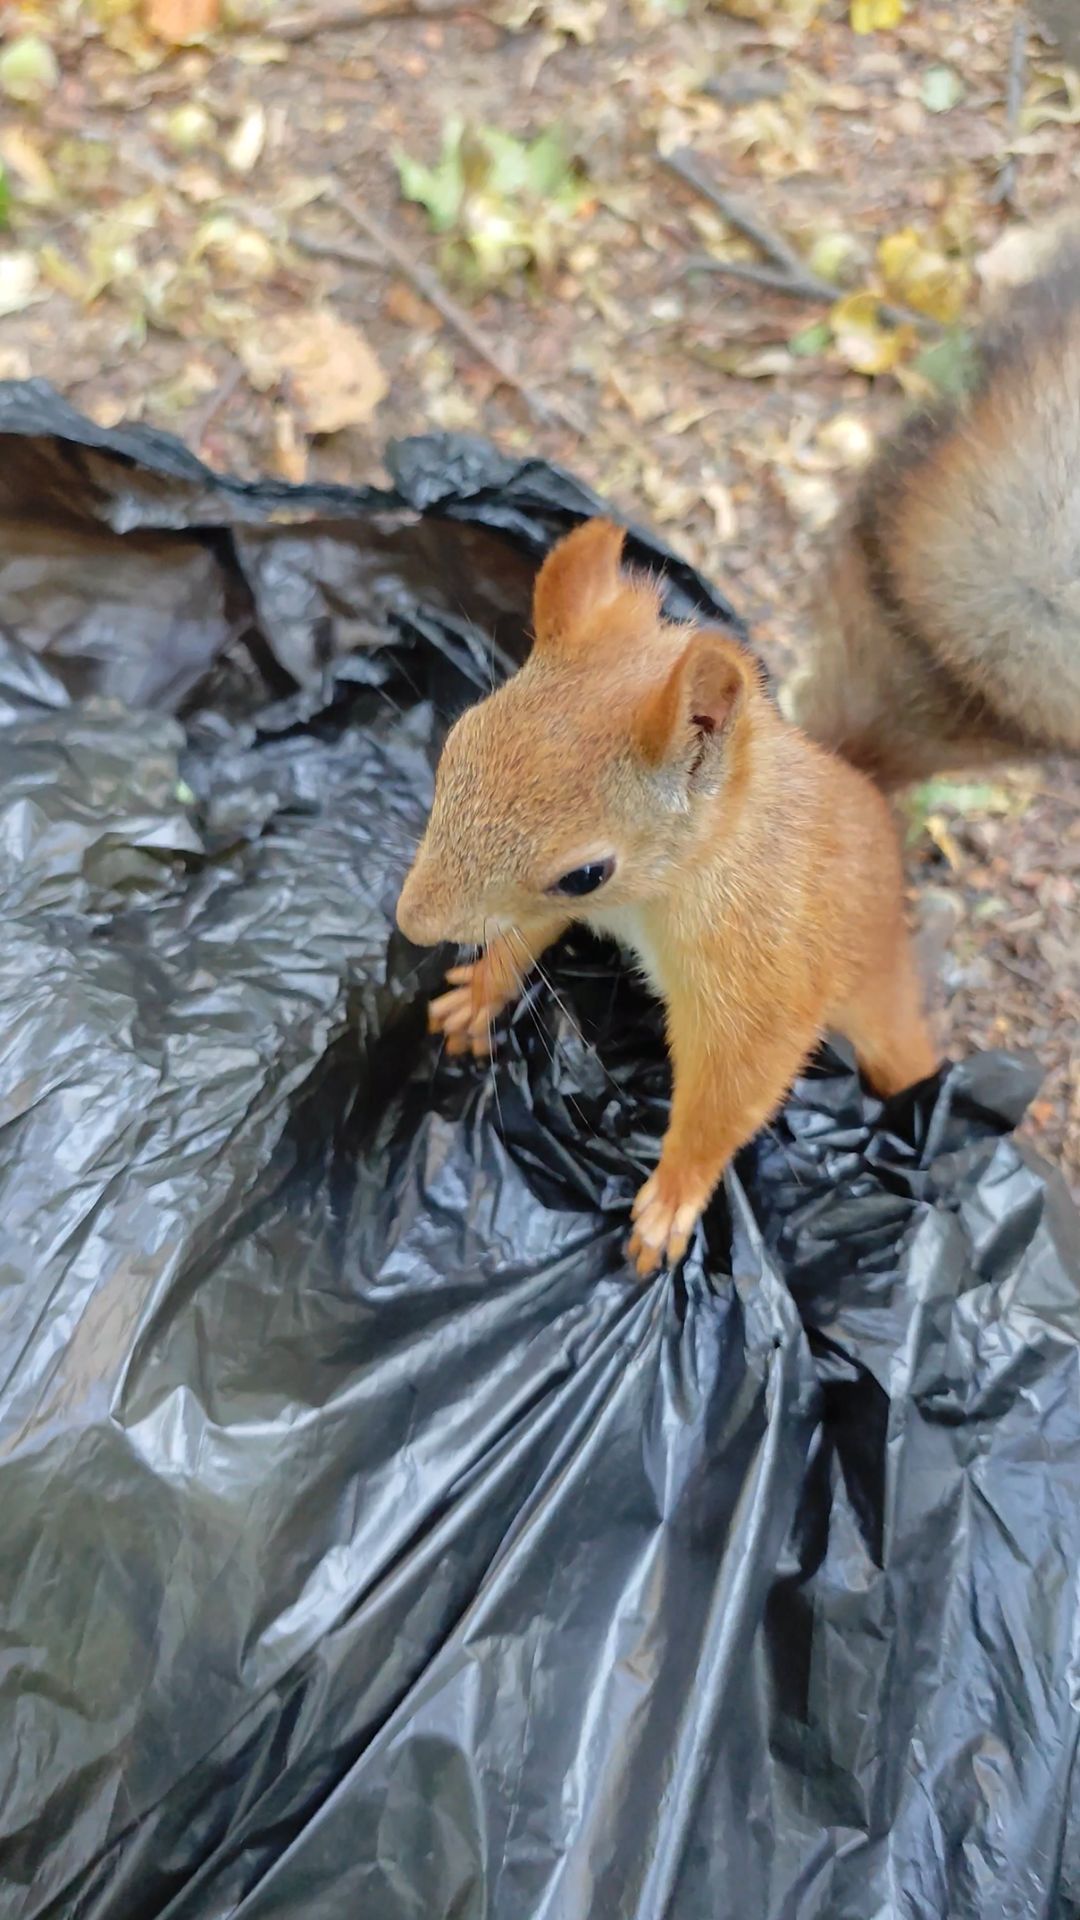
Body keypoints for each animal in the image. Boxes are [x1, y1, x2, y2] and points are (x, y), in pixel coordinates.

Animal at [397, 256, 1080, 1275]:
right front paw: (478, 993)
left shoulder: (759, 983)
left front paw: (671, 1201)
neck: (663, 892)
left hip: (877, 995)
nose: (410, 924)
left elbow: (732, 1095)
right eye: (455, 747)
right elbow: (521, 934)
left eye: (586, 869)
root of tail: (869, 795)